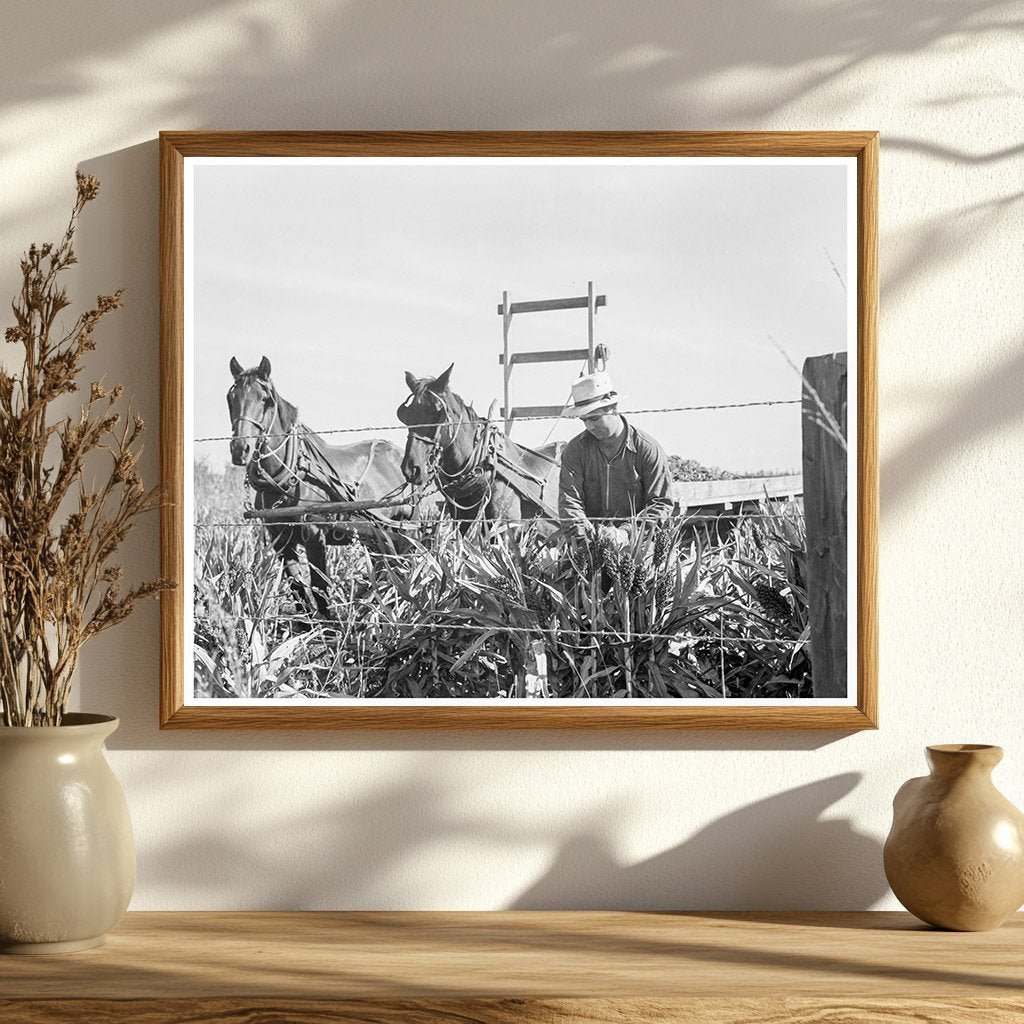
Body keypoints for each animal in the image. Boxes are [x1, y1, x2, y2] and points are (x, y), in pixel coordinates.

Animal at [229, 356, 411, 618]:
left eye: (265, 400)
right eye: (231, 397)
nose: (240, 449)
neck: (291, 476)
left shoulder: (315, 536)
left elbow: (319, 588)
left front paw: (328, 625)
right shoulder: (281, 540)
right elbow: (297, 588)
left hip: (405, 528)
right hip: (378, 534)